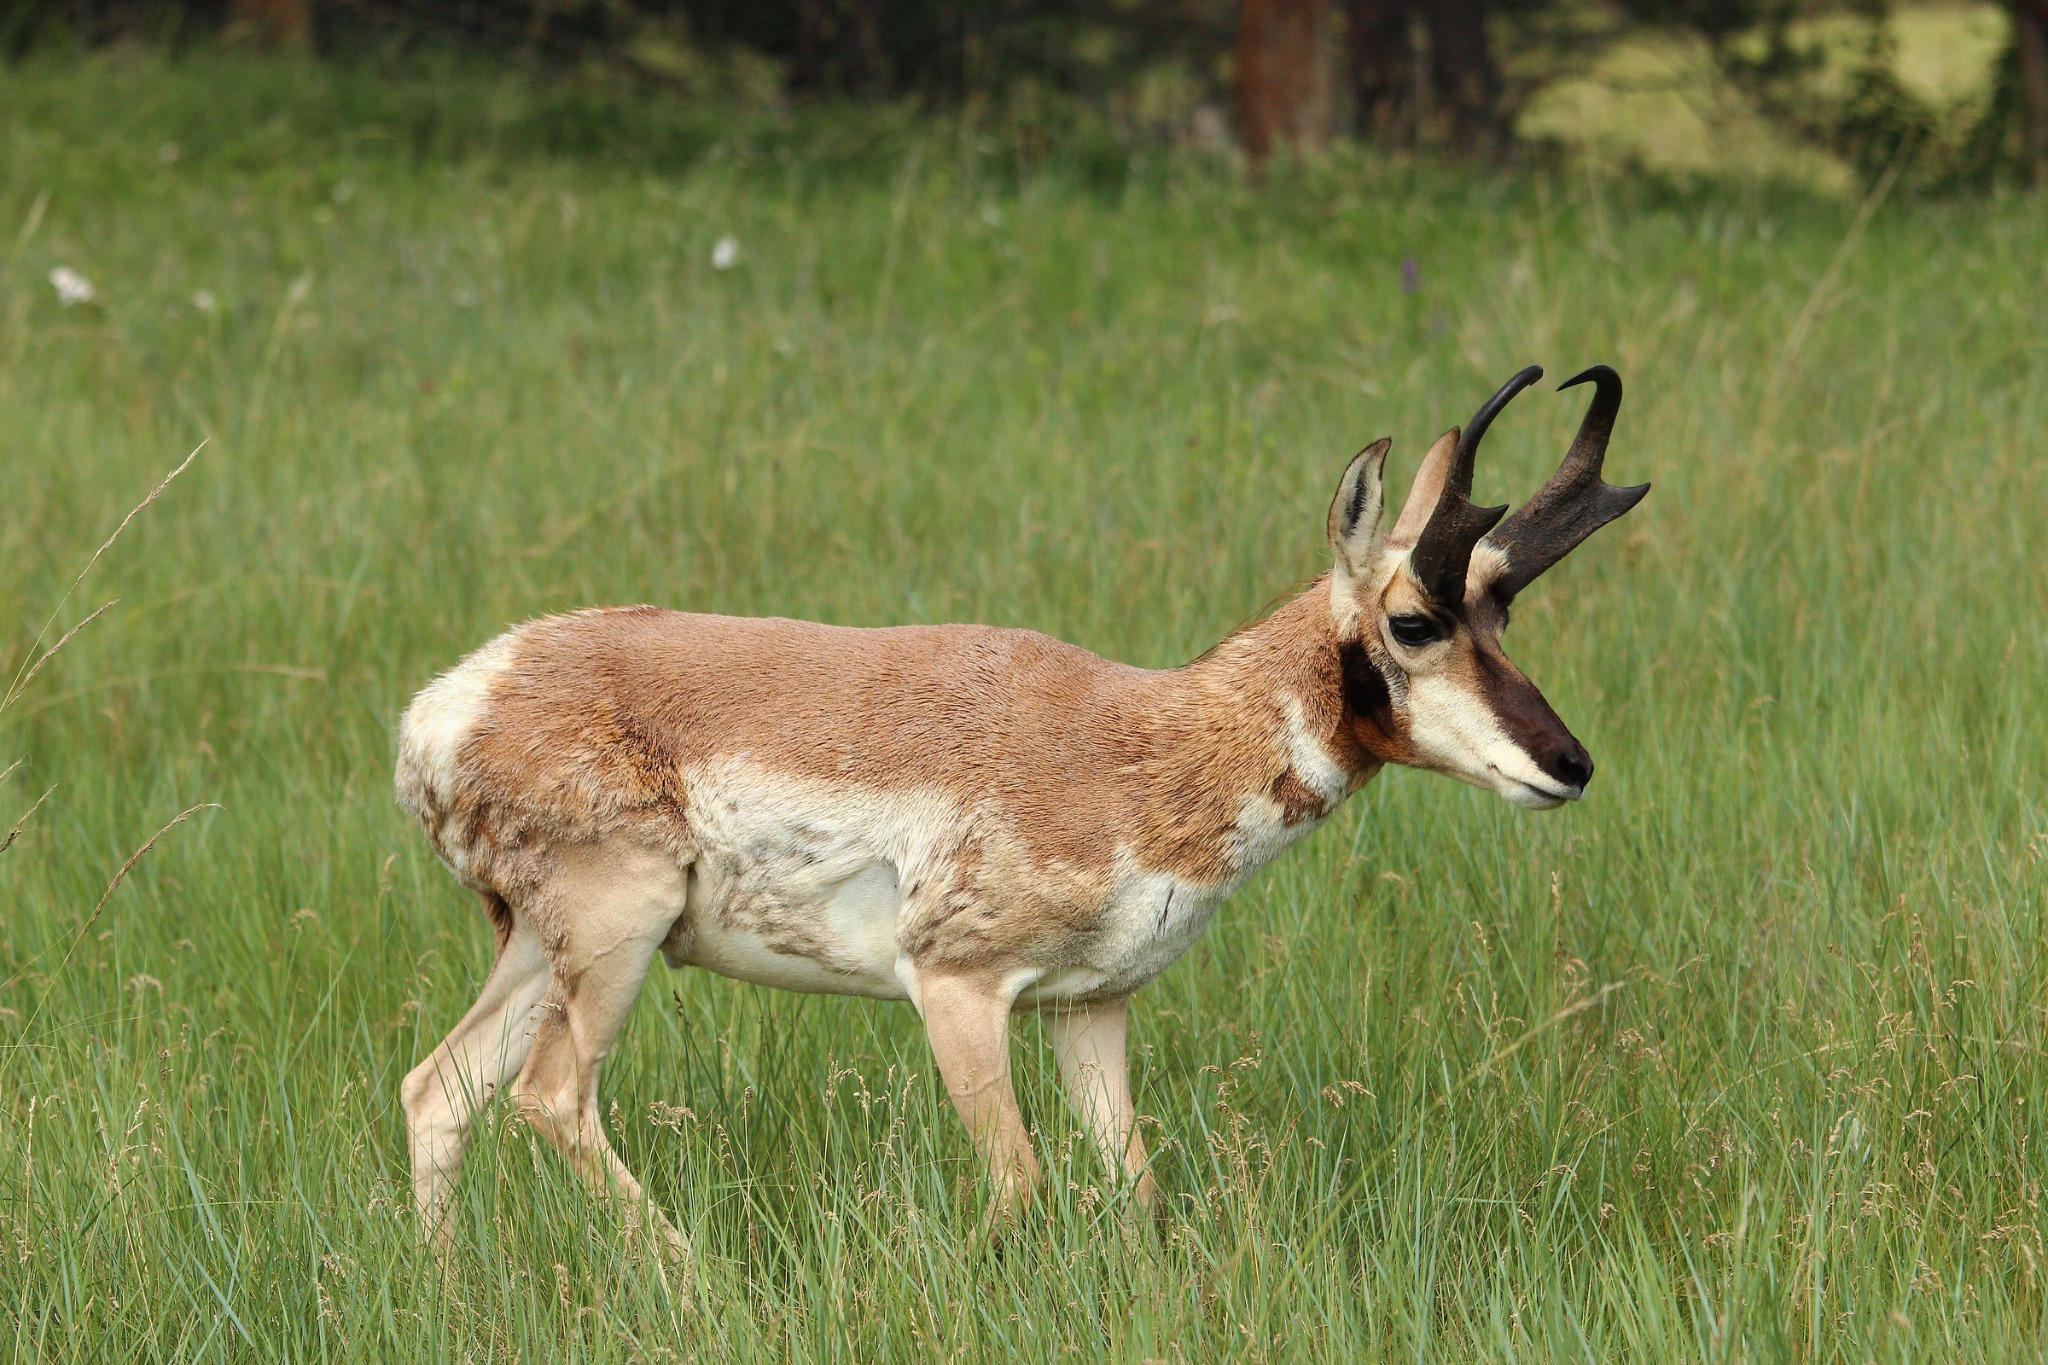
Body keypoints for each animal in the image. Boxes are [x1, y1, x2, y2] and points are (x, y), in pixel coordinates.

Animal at [395, 363, 1647, 1267]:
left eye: (1501, 612)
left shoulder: (1087, 1009)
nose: (1569, 764)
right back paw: (695, 1279)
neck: (1140, 737)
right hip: (617, 932)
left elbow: (1135, 1190)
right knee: (551, 1097)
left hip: (540, 946)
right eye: (1413, 622)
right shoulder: (955, 988)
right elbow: (1021, 1183)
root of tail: (459, 697)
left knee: (439, 1091)